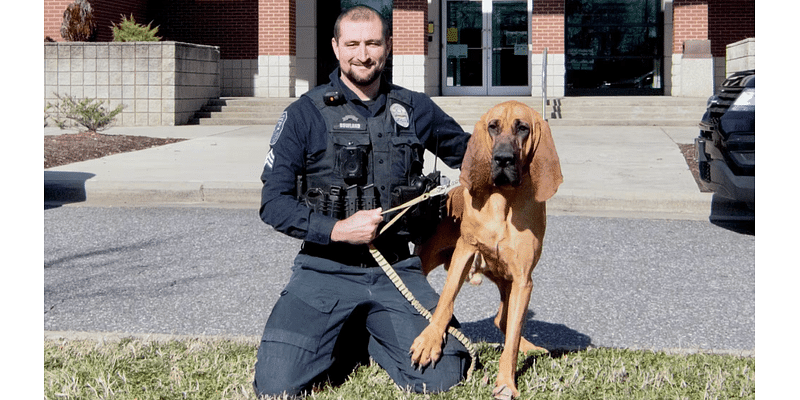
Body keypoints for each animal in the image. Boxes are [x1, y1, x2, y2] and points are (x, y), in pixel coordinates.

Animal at [412, 101, 564, 400]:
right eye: (493, 126)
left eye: (523, 128)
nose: (503, 159)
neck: (503, 201)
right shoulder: (464, 252)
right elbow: (445, 302)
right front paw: (430, 339)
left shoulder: (522, 280)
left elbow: (512, 337)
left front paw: (505, 382)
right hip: (427, 258)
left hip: (508, 283)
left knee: (503, 321)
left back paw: (529, 347)